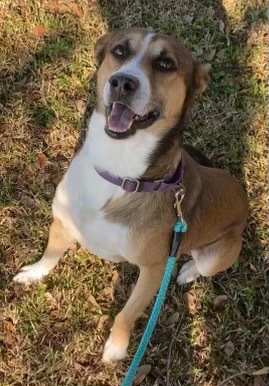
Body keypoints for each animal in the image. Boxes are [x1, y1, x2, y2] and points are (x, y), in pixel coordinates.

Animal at [13, 28, 247, 364]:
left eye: (166, 63)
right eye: (120, 51)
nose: (122, 82)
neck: (118, 171)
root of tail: (245, 198)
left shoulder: (153, 270)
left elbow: (127, 313)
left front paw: (116, 348)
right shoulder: (63, 220)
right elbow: (51, 254)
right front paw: (33, 273)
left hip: (219, 251)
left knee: (201, 264)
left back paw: (188, 271)